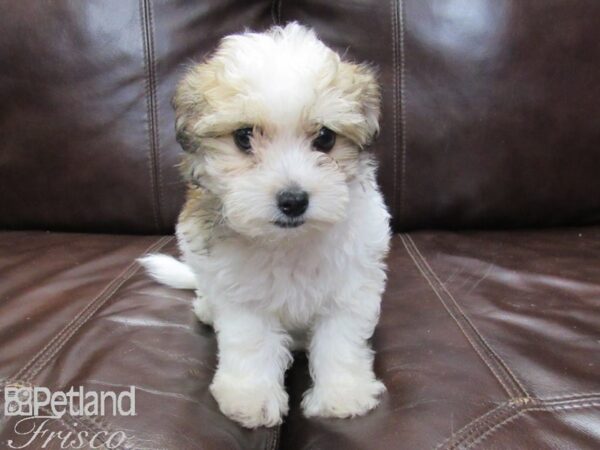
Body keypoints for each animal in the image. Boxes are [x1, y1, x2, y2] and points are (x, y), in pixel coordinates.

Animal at [140, 22, 390, 428]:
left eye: (325, 137)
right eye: (244, 136)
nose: (293, 200)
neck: (287, 242)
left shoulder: (352, 285)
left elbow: (341, 340)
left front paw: (342, 394)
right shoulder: (241, 294)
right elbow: (252, 343)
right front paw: (251, 397)